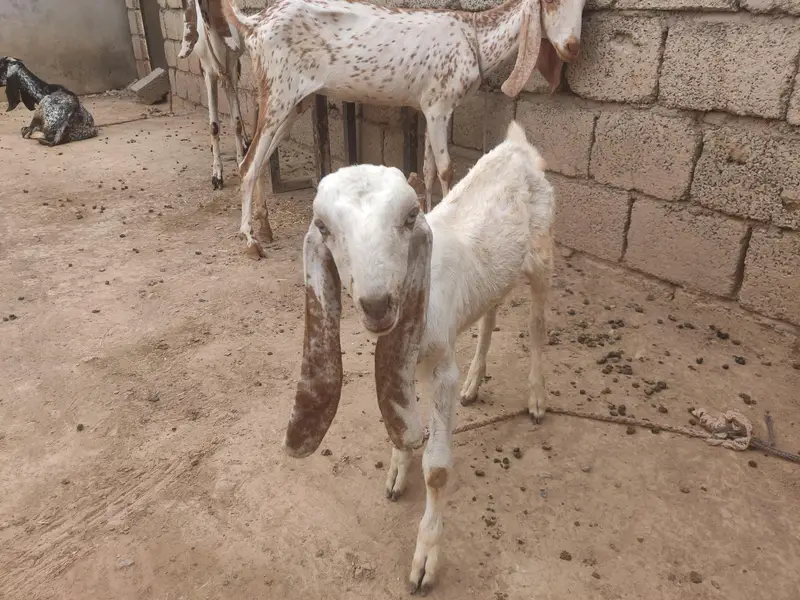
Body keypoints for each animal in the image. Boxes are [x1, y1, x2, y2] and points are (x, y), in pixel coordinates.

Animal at [178, 0, 251, 190]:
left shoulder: (231, 70)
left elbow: (236, 122)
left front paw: (240, 162)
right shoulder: (208, 73)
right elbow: (214, 126)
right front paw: (217, 175)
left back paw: (244, 143)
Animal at [222, 0, 584, 257]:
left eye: (582, 4)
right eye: (550, 1)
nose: (572, 47)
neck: (475, 37)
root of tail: (254, 24)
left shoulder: (429, 107)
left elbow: (427, 169)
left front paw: (428, 215)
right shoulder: (439, 106)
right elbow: (446, 169)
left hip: (296, 101)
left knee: (260, 157)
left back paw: (265, 226)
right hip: (278, 93)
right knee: (248, 163)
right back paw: (250, 240)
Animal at [284, 121, 554, 594]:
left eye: (411, 217)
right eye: (323, 226)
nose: (377, 304)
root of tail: (516, 146)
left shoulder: (440, 367)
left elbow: (438, 469)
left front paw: (426, 558)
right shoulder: (400, 361)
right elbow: (398, 418)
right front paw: (397, 471)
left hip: (541, 257)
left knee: (537, 326)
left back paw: (536, 398)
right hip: (495, 279)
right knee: (490, 312)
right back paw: (475, 382)